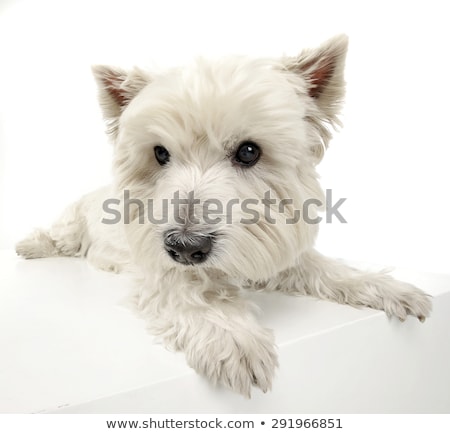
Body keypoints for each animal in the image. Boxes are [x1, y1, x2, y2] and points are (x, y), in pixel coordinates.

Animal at [16, 35, 432, 398]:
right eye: (160, 153)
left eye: (249, 151)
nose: (185, 247)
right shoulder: (160, 270)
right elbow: (191, 291)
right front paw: (234, 339)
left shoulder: (276, 249)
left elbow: (327, 269)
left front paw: (393, 290)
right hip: (72, 221)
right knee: (58, 236)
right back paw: (29, 246)